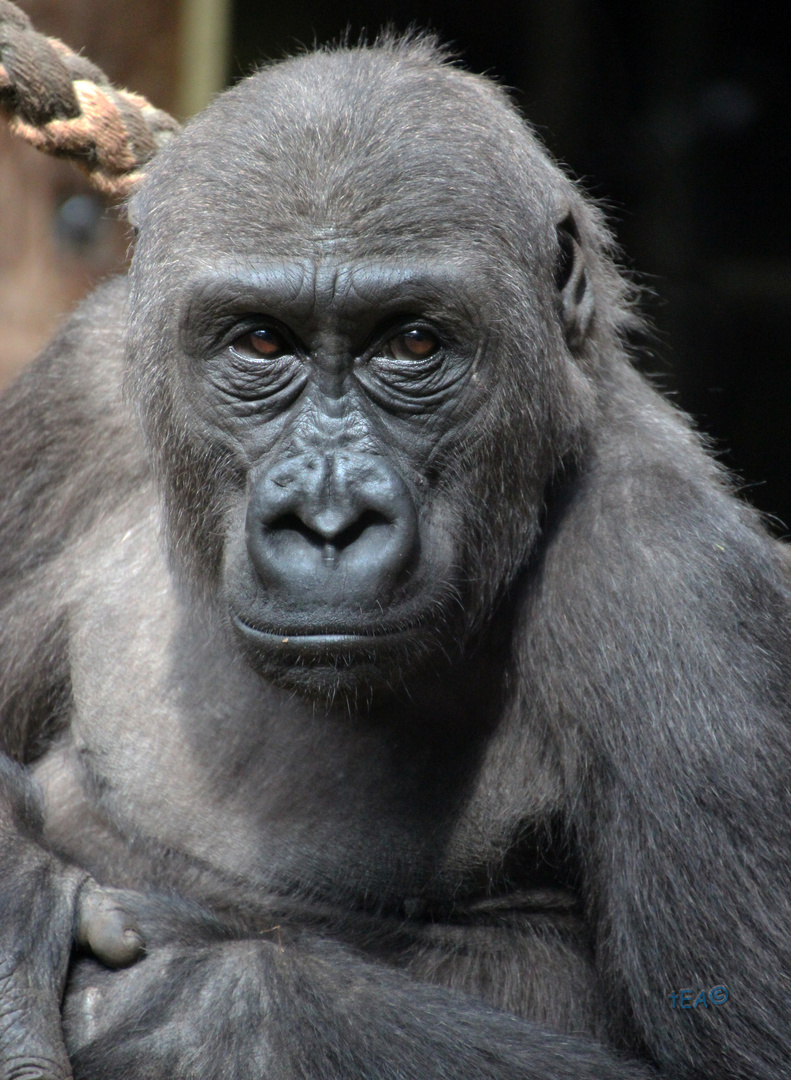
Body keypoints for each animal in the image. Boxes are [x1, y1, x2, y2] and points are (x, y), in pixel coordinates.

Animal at [1, 29, 791, 1080]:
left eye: (412, 344)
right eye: (261, 343)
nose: (330, 518)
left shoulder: (678, 580)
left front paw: (185, 1007)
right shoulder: (75, 398)